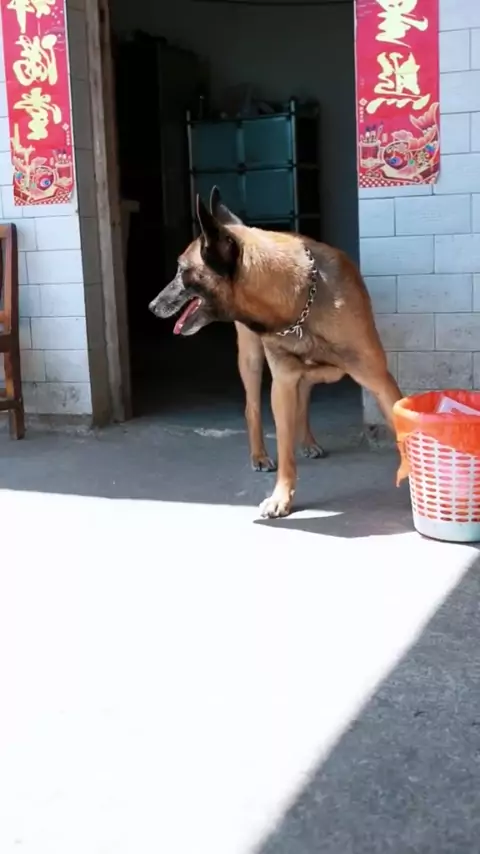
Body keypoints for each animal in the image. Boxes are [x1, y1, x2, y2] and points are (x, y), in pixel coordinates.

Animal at [149, 187, 402, 518]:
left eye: (182, 270)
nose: (151, 306)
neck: (300, 304)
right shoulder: (282, 384)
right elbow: (284, 448)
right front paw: (282, 496)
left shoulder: (378, 379)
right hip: (252, 361)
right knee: (253, 408)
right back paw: (259, 455)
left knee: (304, 397)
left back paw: (307, 441)